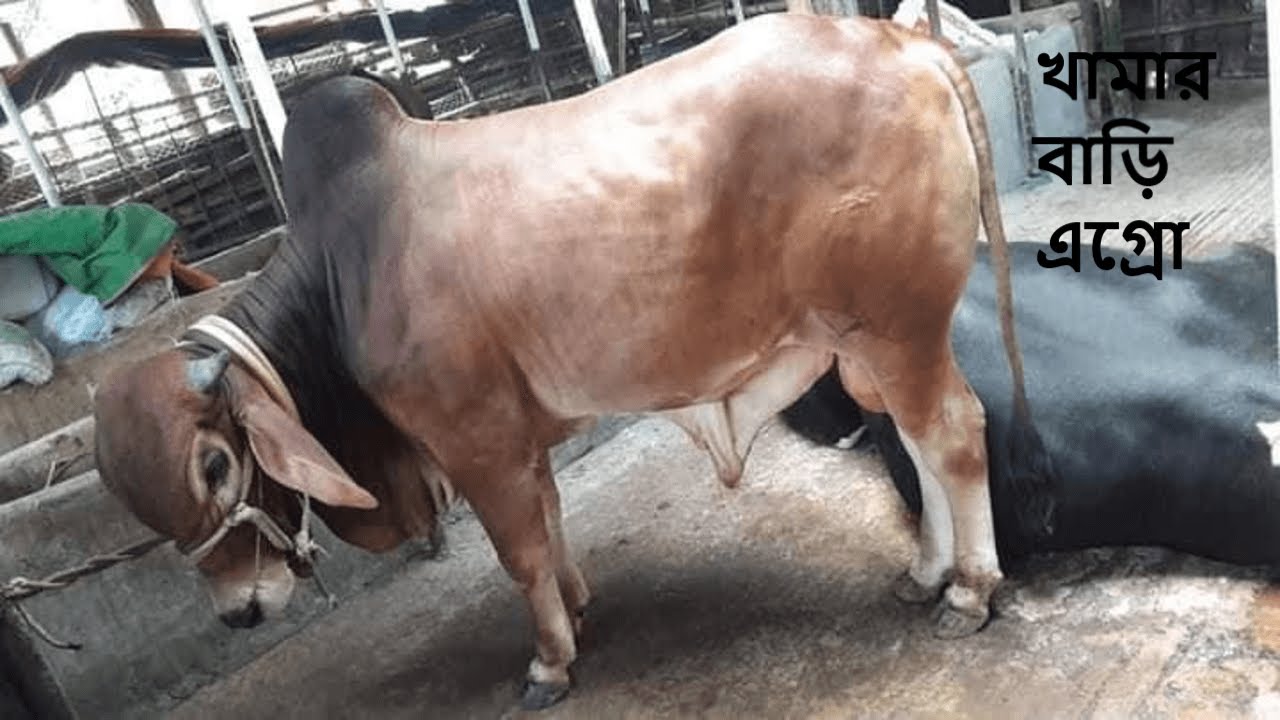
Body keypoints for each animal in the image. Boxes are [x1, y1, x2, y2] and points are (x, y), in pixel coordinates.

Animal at [91, 13, 1050, 709]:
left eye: (217, 465)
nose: (239, 613)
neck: (343, 269)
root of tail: (906, 42)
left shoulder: (472, 440)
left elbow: (518, 555)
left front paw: (549, 665)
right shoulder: (518, 437)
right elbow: (549, 525)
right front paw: (580, 609)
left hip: (899, 327)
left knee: (952, 436)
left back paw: (969, 591)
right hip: (871, 341)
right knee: (917, 443)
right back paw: (925, 574)